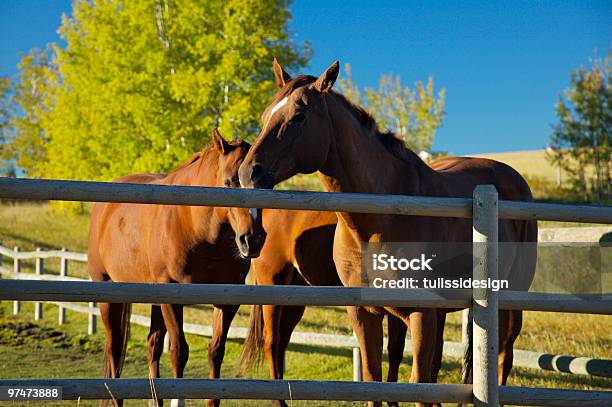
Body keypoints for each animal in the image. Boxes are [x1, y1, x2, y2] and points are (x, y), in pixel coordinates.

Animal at [88, 130, 266, 407]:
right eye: (229, 182)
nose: (253, 240)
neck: (196, 227)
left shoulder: (227, 301)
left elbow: (216, 351)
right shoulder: (172, 297)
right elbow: (179, 351)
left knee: (152, 345)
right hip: (109, 294)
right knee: (115, 348)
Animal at [241, 210, 408, 407]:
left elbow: (396, 350)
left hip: (293, 300)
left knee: (281, 342)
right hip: (273, 286)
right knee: (271, 342)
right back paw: (278, 401)